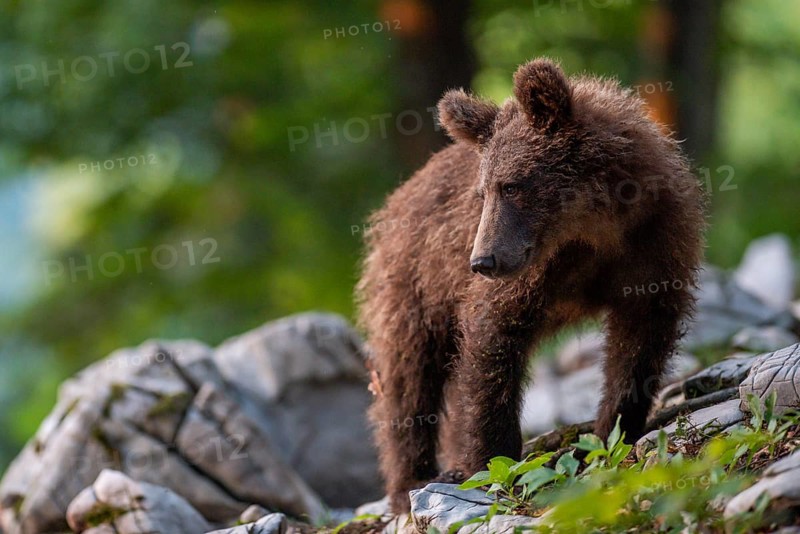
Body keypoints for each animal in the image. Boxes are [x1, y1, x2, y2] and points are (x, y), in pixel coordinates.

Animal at [356, 58, 705, 513]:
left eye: (512, 185)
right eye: (483, 192)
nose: (482, 261)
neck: (593, 230)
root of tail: (398, 196)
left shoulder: (653, 246)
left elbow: (638, 345)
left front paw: (612, 431)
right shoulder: (528, 273)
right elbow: (491, 343)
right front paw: (493, 462)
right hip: (413, 280)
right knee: (408, 374)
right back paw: (411, 480)